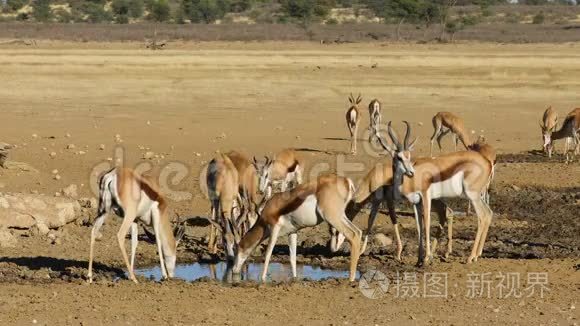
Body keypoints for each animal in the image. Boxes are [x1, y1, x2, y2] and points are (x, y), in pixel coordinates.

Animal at [232, 174, 362, 282]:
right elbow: (292, 258)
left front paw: (262, 278)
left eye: (236, 249)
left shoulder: (274, 228)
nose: (233, 270)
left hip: (332, 217)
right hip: (341, 216)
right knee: (358, 232)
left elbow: (268, 254)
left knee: (353, 235)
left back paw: (351, 279)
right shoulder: (293, 232)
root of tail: (346, 181)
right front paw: (294, 279)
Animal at [376, 121, 494, 266]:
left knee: (482, 216)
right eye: (399, 157)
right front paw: (419, 259)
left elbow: (427, 223)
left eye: (409, 156)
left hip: (473, 196)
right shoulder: (416, 202)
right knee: (489, 213)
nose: (411, 172)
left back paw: (470, 257)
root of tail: (488, 162)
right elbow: (419, 226)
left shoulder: (426, 197)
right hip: (477, 196)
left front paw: (427, 257)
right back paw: (477, 255)